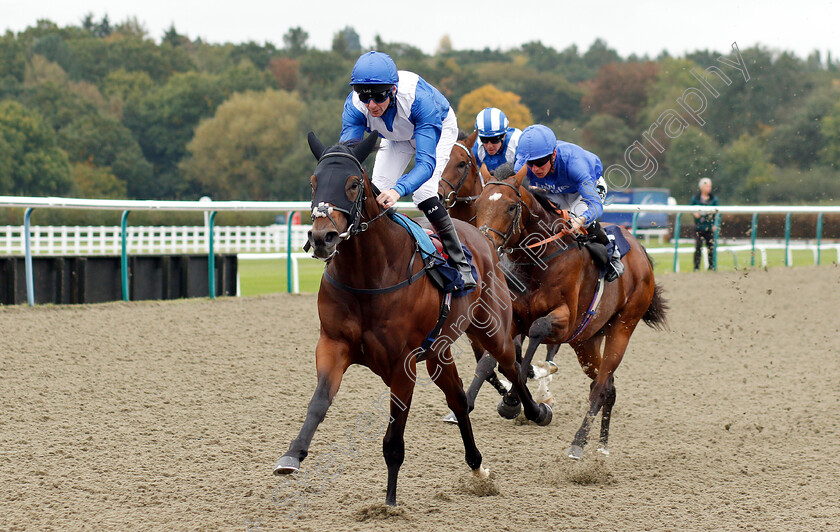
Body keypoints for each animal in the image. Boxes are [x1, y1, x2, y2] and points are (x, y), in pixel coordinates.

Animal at [272, 131, 556, 504]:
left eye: (352, 184)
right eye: (313, 181)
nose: (322, 238)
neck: (368, 275)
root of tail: (481, 239)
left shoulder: (402, 364)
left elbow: (394, 439)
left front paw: (390, 503)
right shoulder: (333, 345)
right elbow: (319, 402)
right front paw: (293, 454)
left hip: (492, 330)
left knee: (511, 367)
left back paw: (534, 411)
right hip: (439, 352)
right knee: (458, 398)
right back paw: (477, 466)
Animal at [472, 169, 668, 458]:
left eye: (510, 207)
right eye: (478, 204)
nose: (483, 243)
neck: (538, 263)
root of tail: (641, 251)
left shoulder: (564, 321)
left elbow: (537, 330)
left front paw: (518, 399)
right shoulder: (513, 319)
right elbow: (502, 357)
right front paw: (522, 401)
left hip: (622, 327)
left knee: (600, 386)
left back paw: (578, 442)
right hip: (586, 341)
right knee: (608, 386)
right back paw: (602, 445)